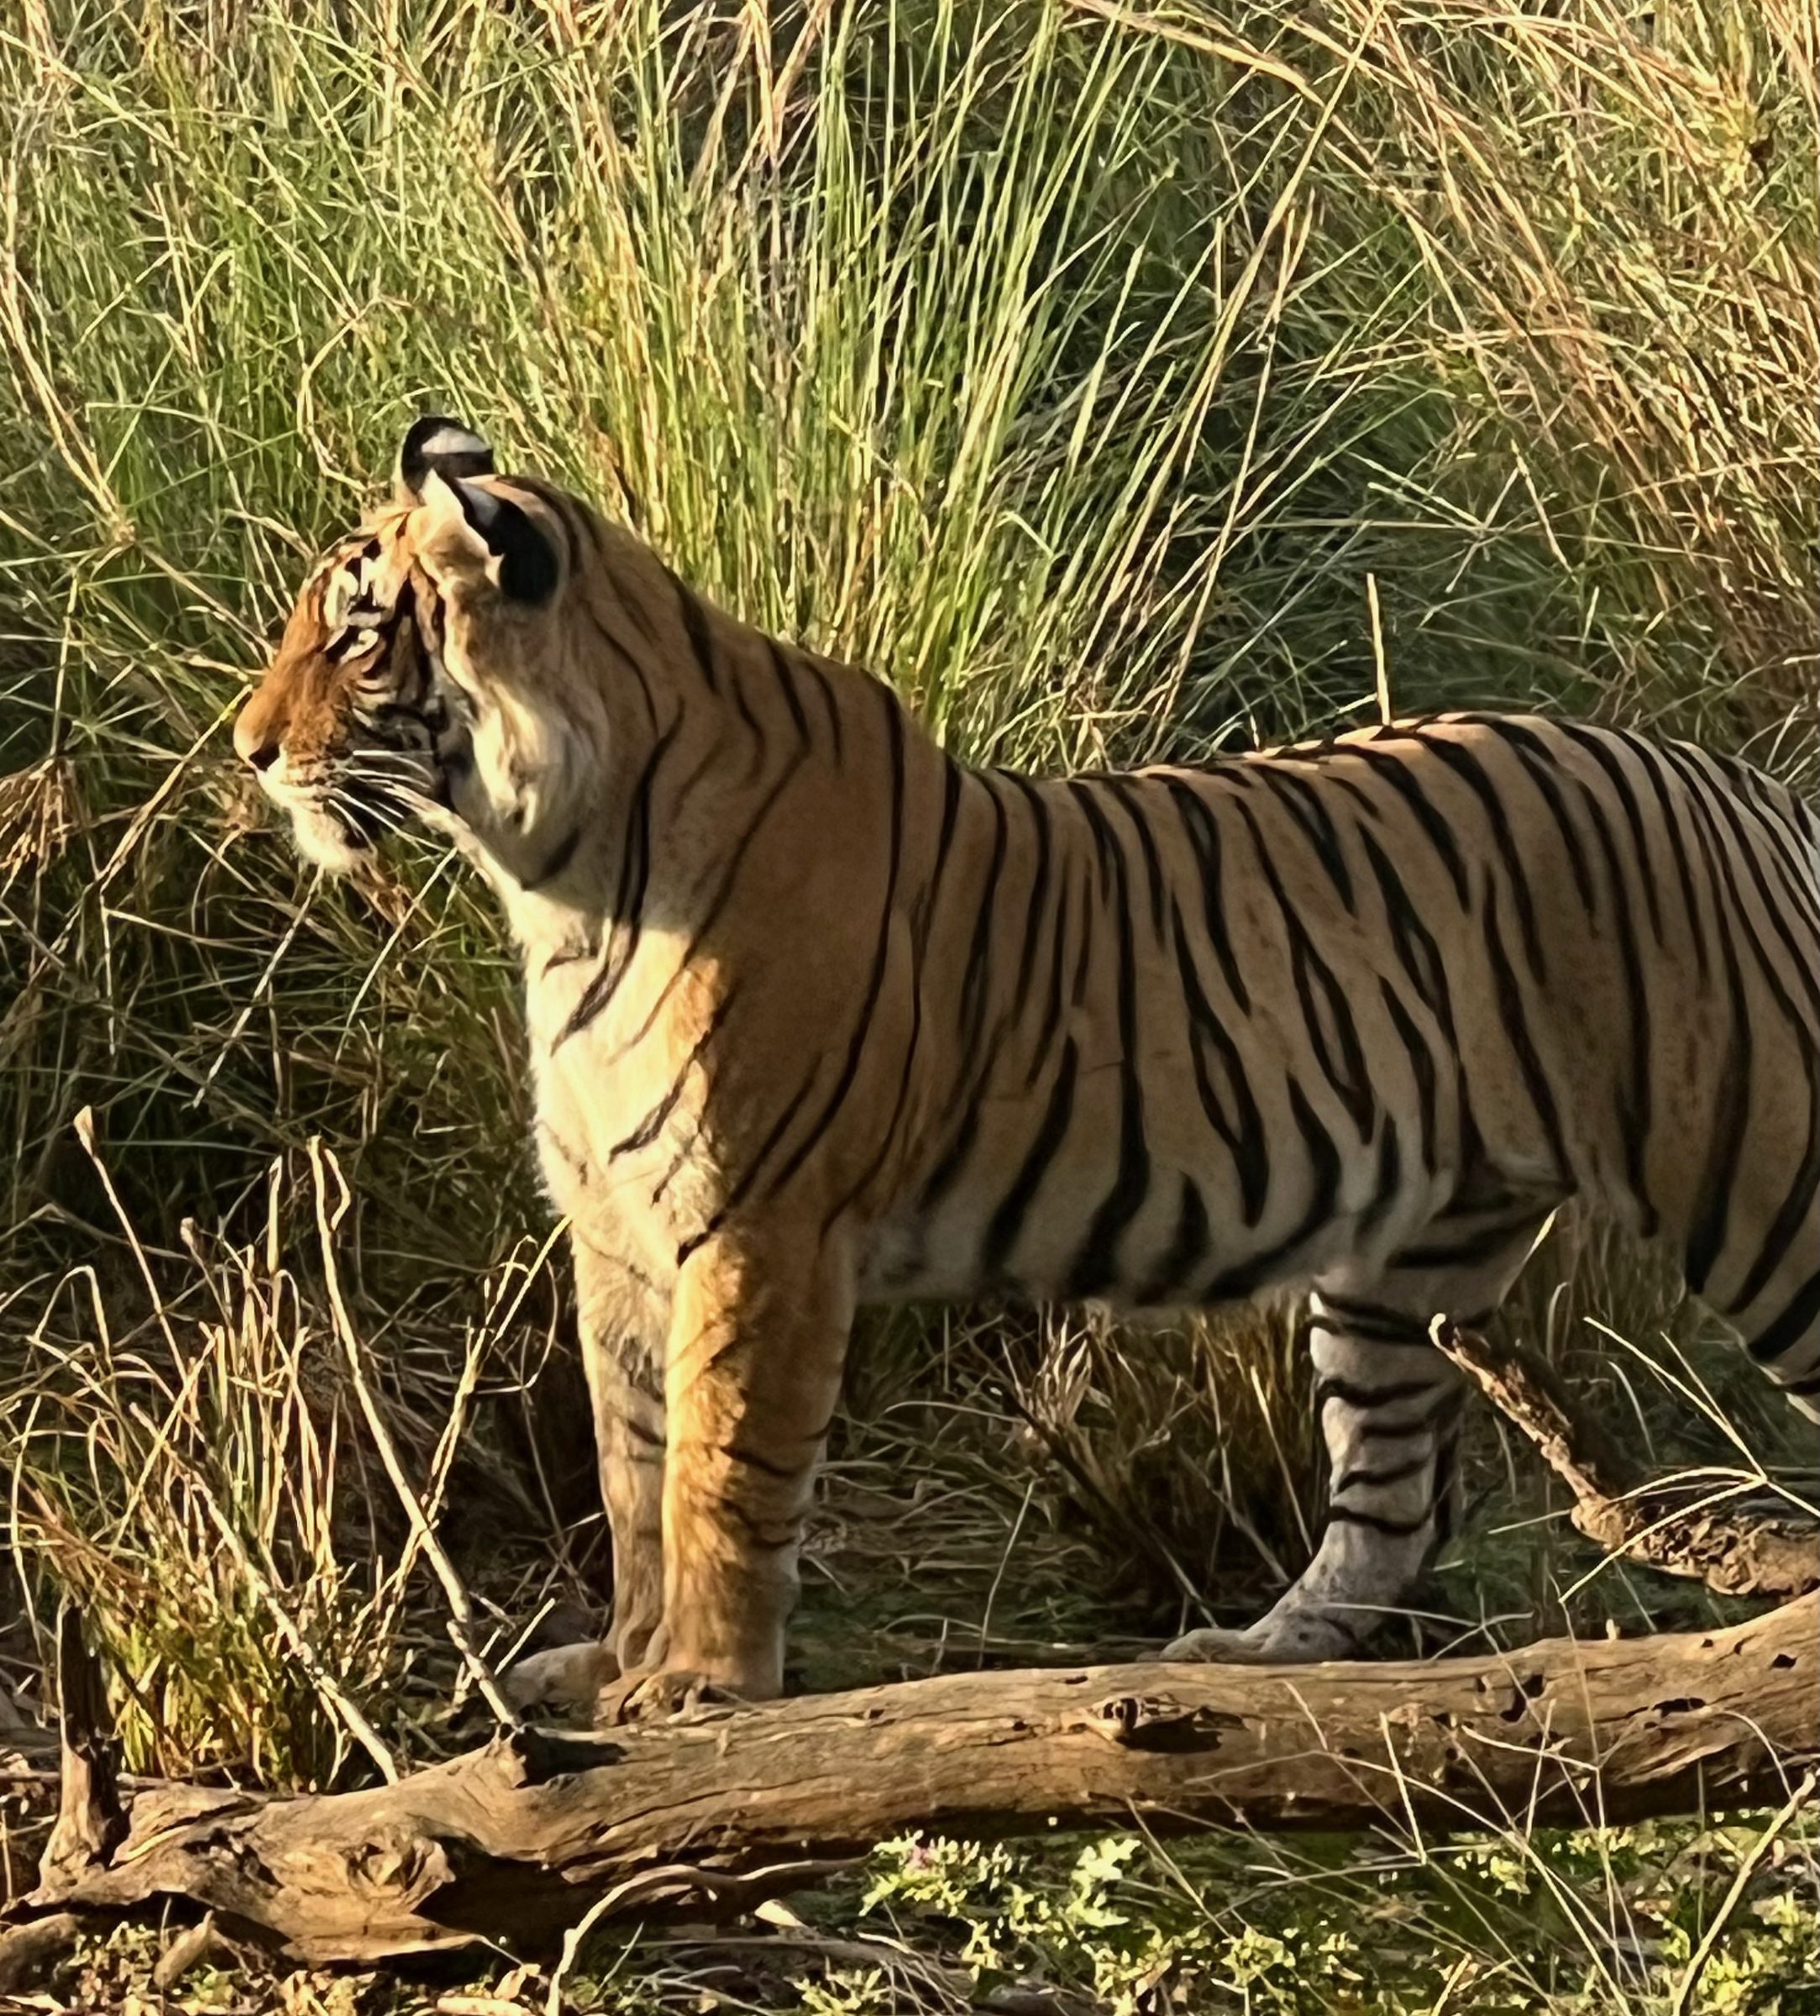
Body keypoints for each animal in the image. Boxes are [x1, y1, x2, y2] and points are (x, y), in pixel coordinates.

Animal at [234, 415, 1820, 1716]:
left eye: (358, 637)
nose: (247, 750)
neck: (552, 870)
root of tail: (1743, 785)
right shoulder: (617, 1228)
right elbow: (630, 1466)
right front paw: (609, 1668)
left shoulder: (758, 1229)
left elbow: (714, 1472)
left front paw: (698, 1688)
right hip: (1399, 1259)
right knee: (1390, 1501)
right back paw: (1252, 1658)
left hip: (1760, 1180)